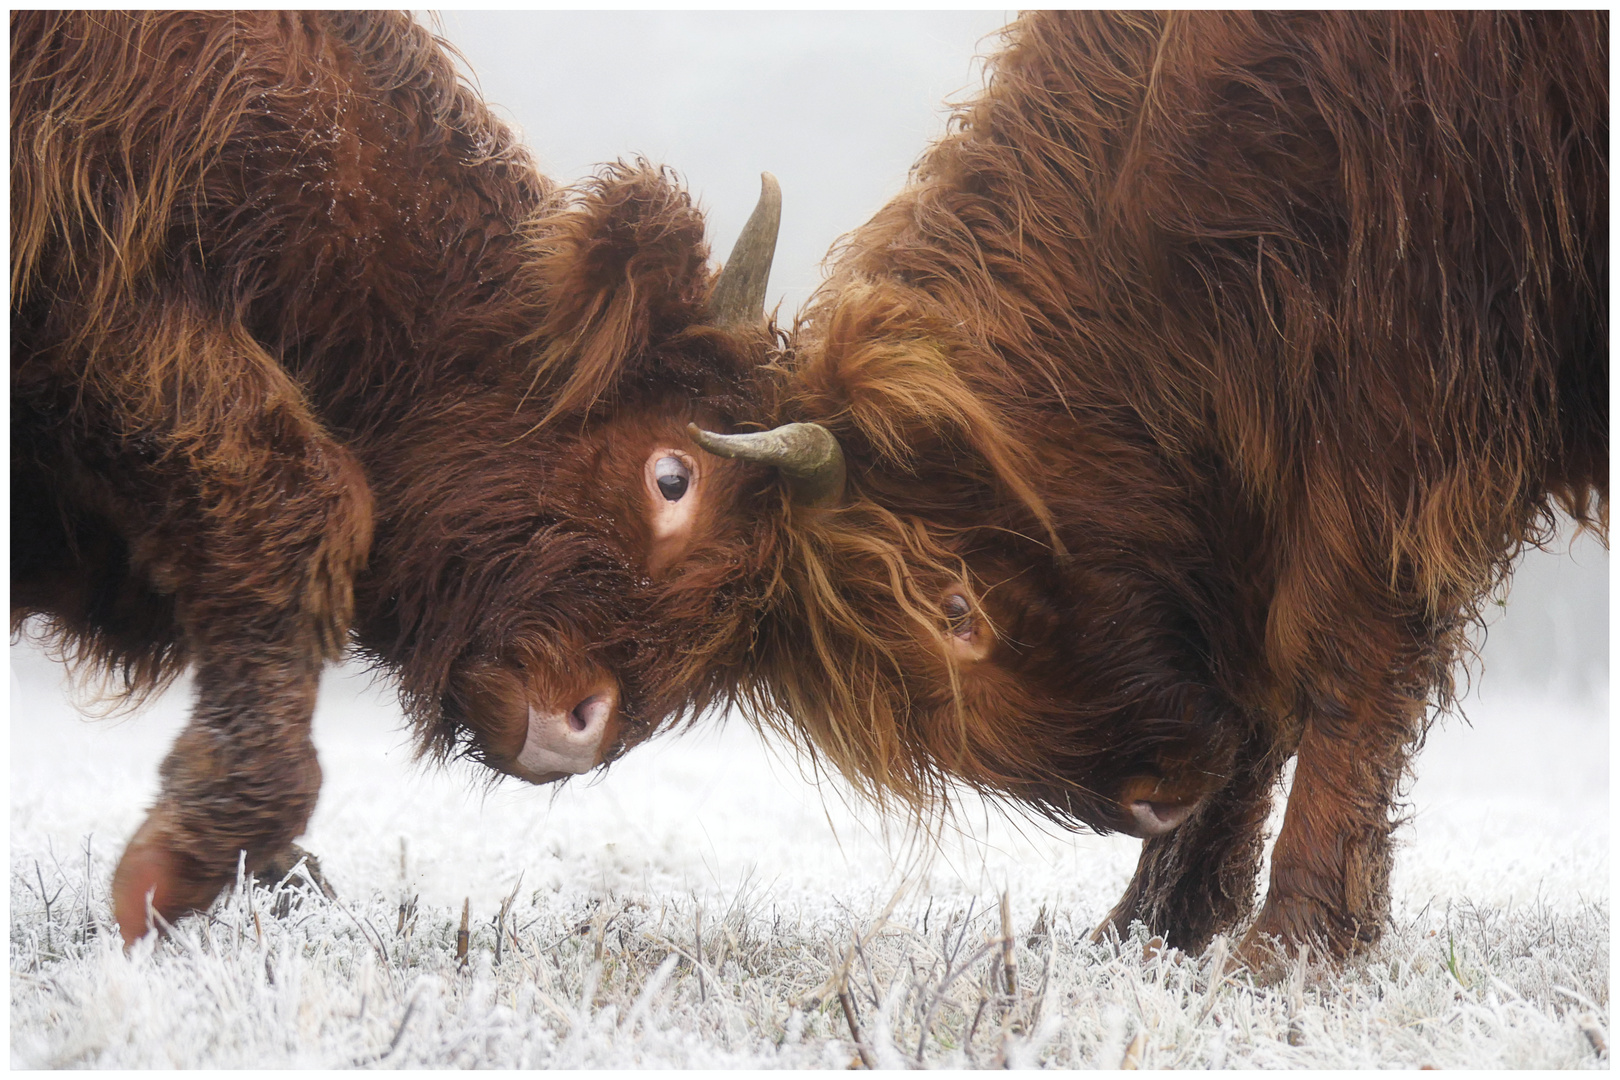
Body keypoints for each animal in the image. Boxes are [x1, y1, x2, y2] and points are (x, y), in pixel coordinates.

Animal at [9, 14, 787, 945]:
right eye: (673, 477)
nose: (579, 729)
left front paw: (274, 868)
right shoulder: (106, 310)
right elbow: (306, 503)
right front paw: (184, 860)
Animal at [712, 10, 1607, 965]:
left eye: (957, 608)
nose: (1156, 801)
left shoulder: (1414, 405)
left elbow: (1345, 655)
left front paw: (1292, 945)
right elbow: (1260, 684)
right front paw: (1153, 923)